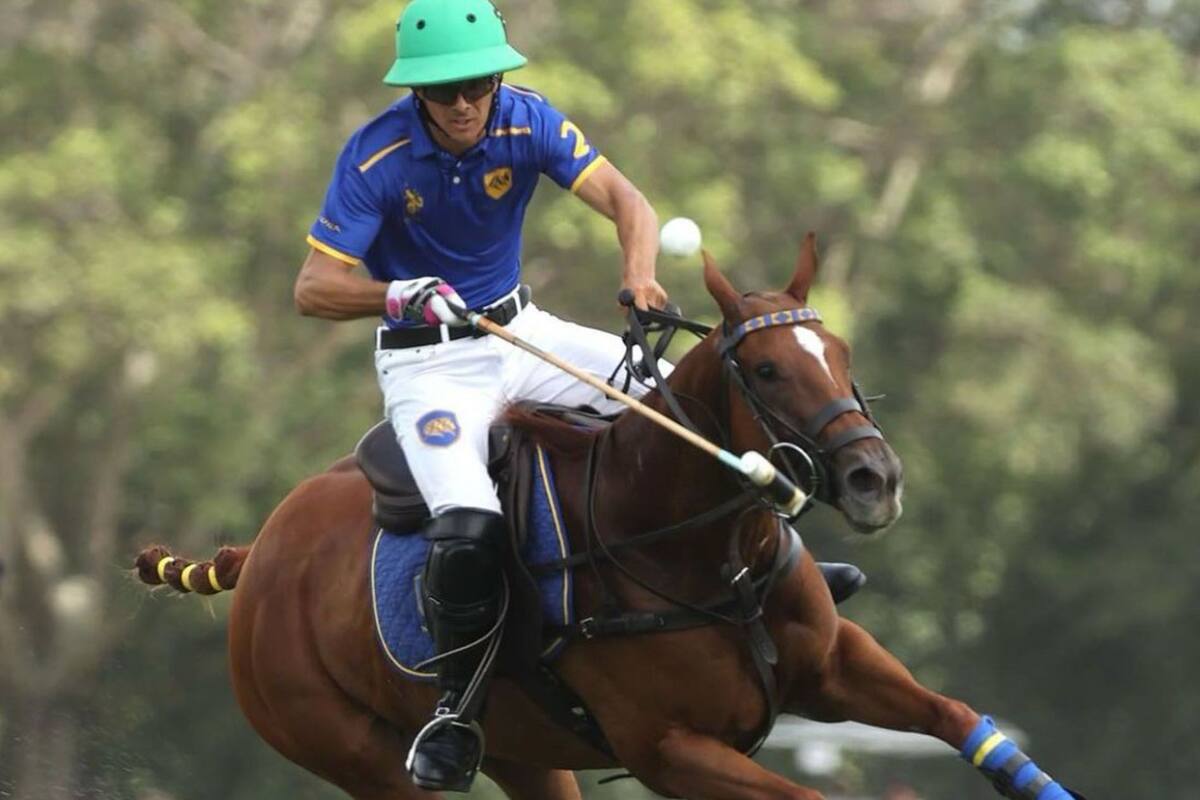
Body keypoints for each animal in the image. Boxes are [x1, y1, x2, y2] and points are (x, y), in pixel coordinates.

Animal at [136, 235, 1083, 800]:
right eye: (767, 371)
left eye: (840, 356)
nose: (873, 479)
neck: (707, 553)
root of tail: (260, 551)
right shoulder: (669, 750)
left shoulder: (836, 668)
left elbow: (958, 718)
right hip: (351, 750)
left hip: (524, 751)